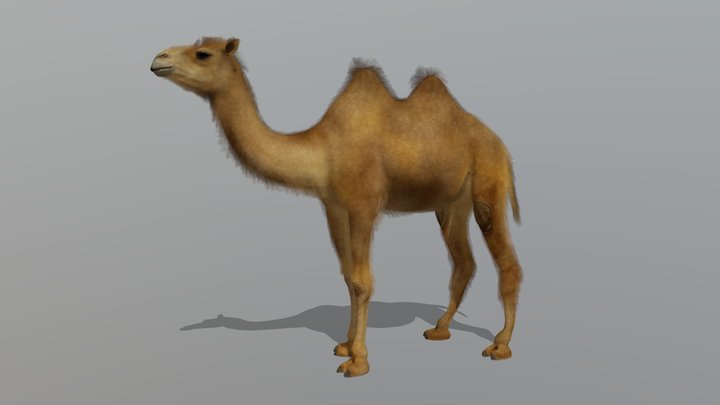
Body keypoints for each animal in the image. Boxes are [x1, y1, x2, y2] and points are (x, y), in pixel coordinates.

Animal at [150, 37, 523, 377]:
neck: (323, 150)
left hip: (488, 181)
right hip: (451, 203)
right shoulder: (333, 206)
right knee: (464, 262)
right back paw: (440, 328)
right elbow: (347, 276)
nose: (158, 59)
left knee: (507, 263)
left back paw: (500, 345)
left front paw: (358, 361)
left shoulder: (363, 206)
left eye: (202, 53)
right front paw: (345, 345)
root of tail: (501, 145)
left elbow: (362, 281)